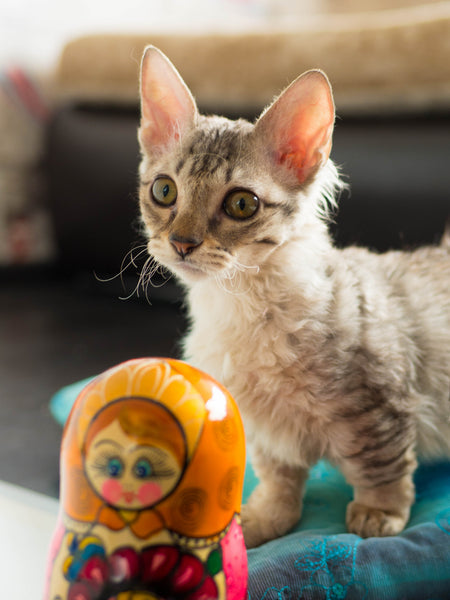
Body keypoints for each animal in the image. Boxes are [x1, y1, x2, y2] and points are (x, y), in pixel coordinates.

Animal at [136, 44, 450, 548]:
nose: (182, 243)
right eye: (164, 191)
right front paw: (263, 519)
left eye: (241, 204)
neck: (239, 306)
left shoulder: (378, 409)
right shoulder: (264, 429)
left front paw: (378, 513)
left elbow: (382, 469)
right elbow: (279, 483)